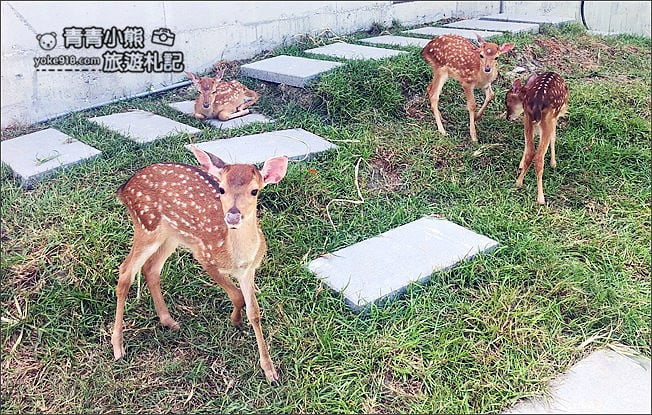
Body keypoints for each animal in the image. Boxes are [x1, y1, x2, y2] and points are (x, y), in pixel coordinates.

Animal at [110, 146, 288, 384]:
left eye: (254, 191)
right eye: (221, 189)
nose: (233, 216)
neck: (235, 257)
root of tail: (124, 188)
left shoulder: (249, 269)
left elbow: (255, 312)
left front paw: (269, 370)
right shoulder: (204, 256)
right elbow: (236, 296)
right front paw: (235, 320)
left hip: (172, 235)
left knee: (151, 269)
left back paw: (169, 321)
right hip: (147, 226)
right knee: (125, 272)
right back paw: (118, 347)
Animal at [505, 71, 569, 205]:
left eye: (506, 101)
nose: (508, 117)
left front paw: (520, 164)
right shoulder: (554, 118)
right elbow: (553, 137)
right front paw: (553, 163)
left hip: (528, 117)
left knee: (531, 152)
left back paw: (518, 182)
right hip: (548, 118)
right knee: (539, 157)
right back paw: (541, 198)